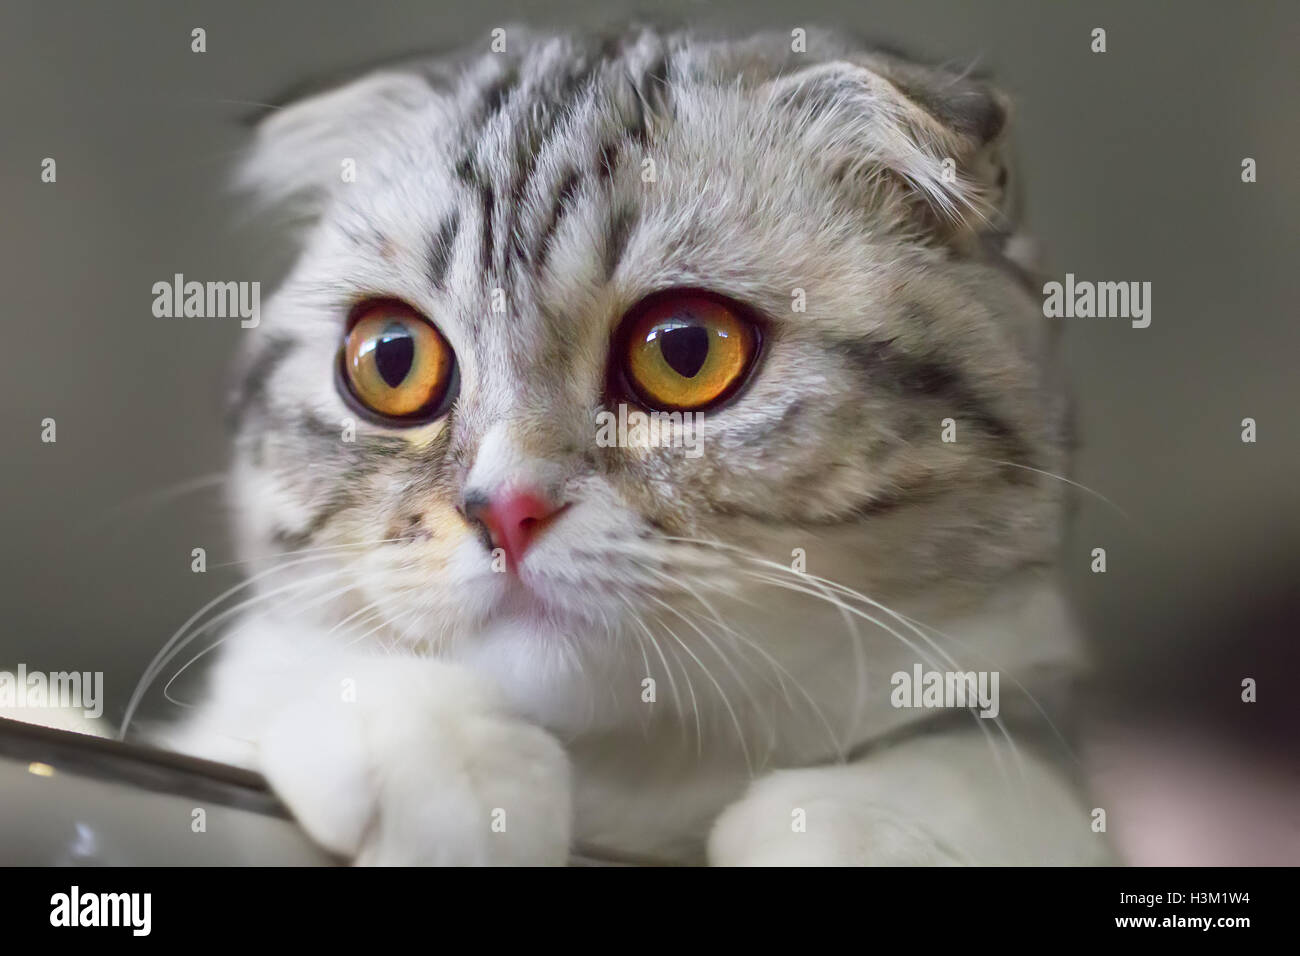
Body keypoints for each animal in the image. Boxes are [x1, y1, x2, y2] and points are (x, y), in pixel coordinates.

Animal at [152, 27, 1107, 868]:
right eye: (392, 359)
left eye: (684, 350)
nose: (506, 509)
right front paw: (441, 763)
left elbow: (993, 772)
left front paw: (854, 824)